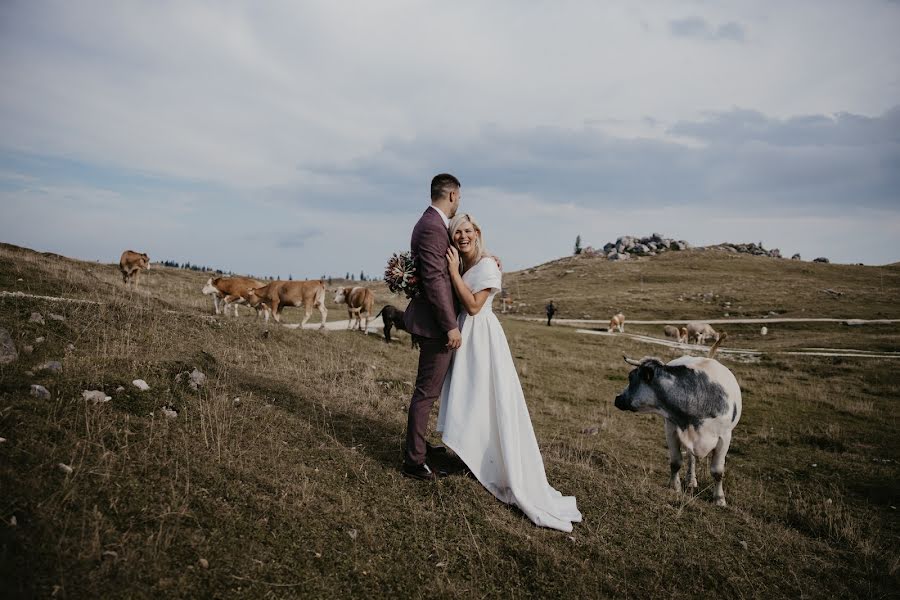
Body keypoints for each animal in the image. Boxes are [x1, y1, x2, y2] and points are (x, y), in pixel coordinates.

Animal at [616, 338, 740, 506]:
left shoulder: (725, 437)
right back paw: (691, 479)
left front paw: (719, 498)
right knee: (691, 457)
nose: (617, 398)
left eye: (630, 377)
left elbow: (717, 471)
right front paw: (674, 486)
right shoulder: (671, 429)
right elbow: (676, 462)